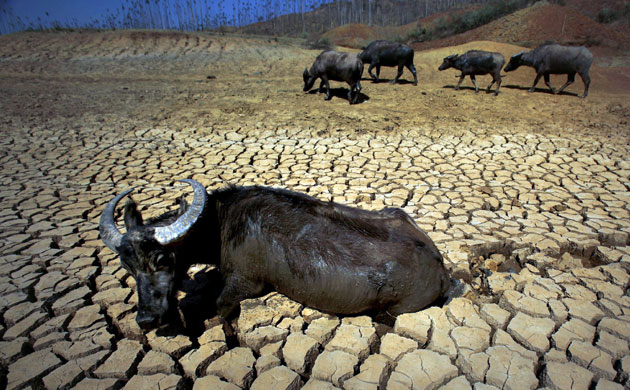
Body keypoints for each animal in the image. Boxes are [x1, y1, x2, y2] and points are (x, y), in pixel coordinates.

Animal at [100, 180, 454, 330]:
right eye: (127, 266)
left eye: (161, 260)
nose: (146, 319)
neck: (220, 223)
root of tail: (440, 267)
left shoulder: (246, 284)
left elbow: (220, 306)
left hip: (394, 311)